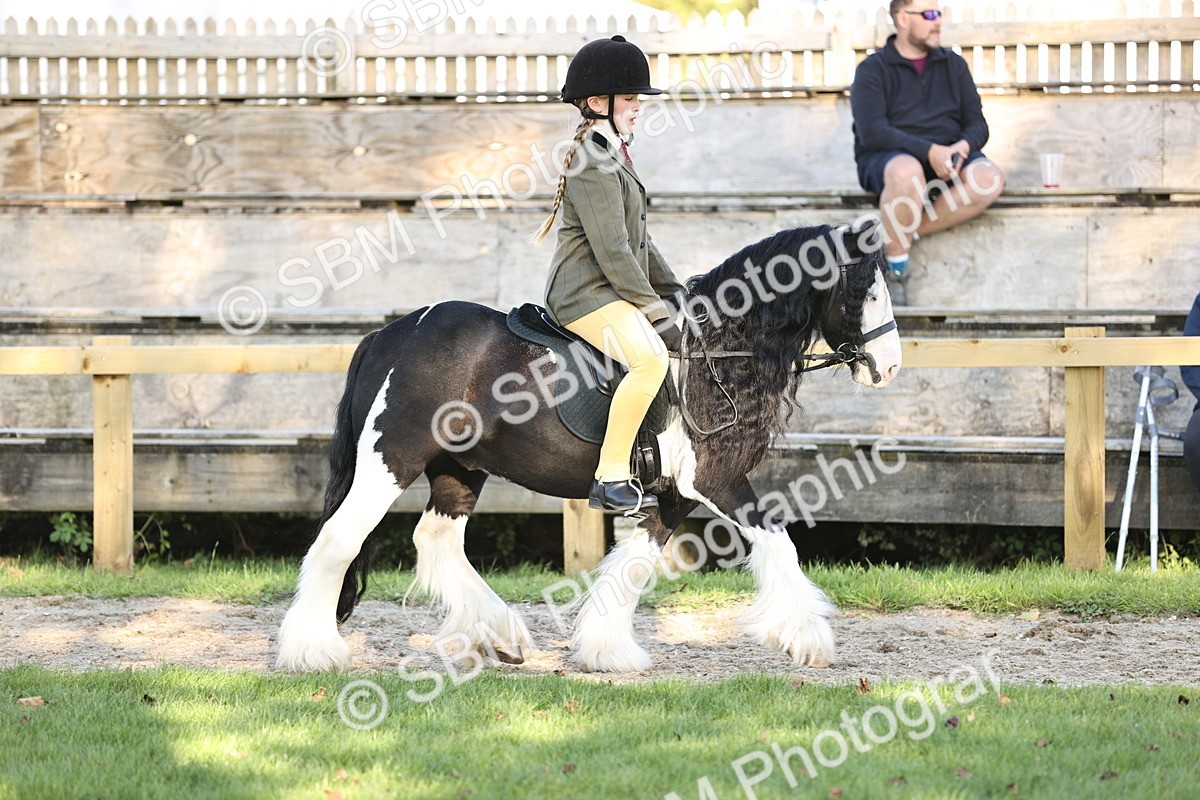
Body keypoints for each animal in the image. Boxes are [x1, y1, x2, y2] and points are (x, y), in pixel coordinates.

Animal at [276, 221, 903, 674]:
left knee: (436, 541)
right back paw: (312, 652)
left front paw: (608, 652)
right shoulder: (716, 480)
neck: (719, 350)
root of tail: (391, 333)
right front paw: (809, 639)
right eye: (864, 291)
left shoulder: (674, 493)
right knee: (338, 541)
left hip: (460, 468)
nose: (890, 368)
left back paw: (502, 635)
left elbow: (635, 564)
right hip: (391, 459)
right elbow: (778, 541)